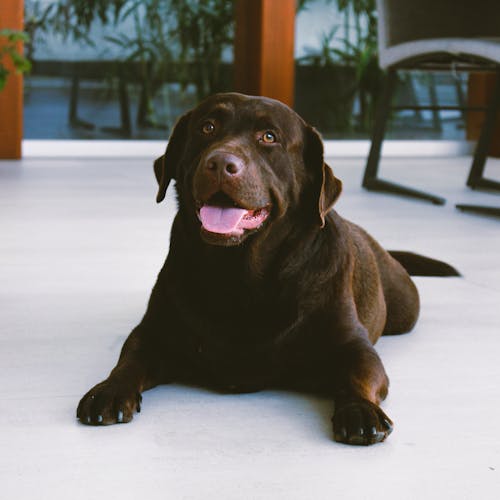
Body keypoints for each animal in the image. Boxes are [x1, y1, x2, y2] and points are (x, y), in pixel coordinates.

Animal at [76, 92, 458, 444]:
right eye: (207, 127)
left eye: (269, 137)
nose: (220, 163)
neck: (241, 274)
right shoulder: (154, 332)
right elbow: (129, 360)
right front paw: (110, 390)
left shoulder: (354, 345)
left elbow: (357, 375)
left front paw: (360, 410)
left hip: (405, 309)